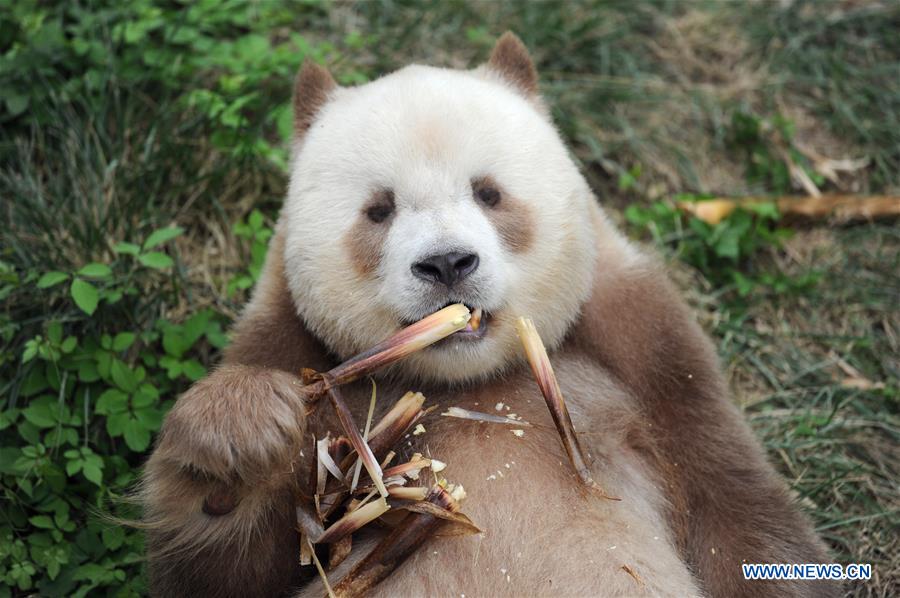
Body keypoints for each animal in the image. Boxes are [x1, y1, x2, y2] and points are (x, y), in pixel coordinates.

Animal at [141, 33, 838, 598]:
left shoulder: (649, 355)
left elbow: (738, 513)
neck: (473, 381)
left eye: (489, 193)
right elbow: (232, 572)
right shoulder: (291, 346)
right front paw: (240, 434)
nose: (447, 263)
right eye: (379, 210)